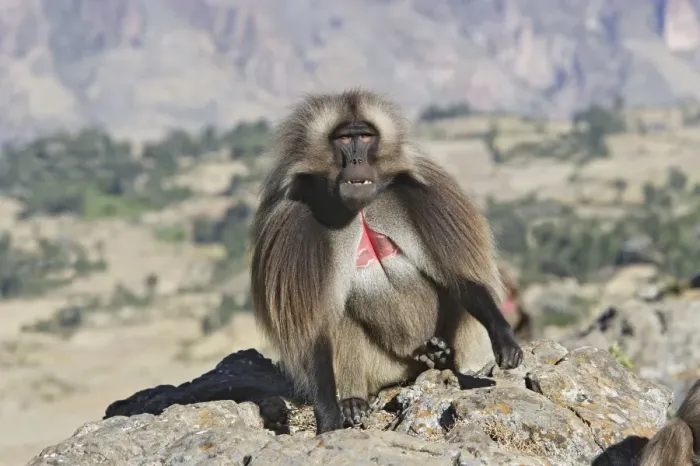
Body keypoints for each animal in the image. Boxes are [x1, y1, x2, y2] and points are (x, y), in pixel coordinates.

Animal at [250, 89, 523, 435]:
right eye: (343, 138)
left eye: (365, 137)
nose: (356, 161)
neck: (360, 207)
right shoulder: (293, 222)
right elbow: (314, 330)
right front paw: (329, 416)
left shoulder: (429, 195)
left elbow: (461, 280)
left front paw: (504, 338)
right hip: (383, 368)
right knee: (339, 317)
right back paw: (353, 401)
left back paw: (440, 357)